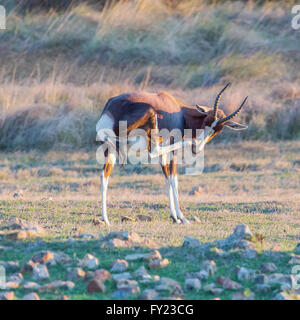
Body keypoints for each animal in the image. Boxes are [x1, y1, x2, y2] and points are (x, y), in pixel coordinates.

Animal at [96, 84, 248, 225]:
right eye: (206, 121)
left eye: (217, 130)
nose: (197, 147)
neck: (178, 111)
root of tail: (109, 109)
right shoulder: (171, 149)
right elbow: (174, 179)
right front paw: (182, 218)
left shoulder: (165, 153)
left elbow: (167, 177)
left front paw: (174, 217)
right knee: (153, 152)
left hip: (111, 149)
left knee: (104, 175)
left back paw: (106, 219)